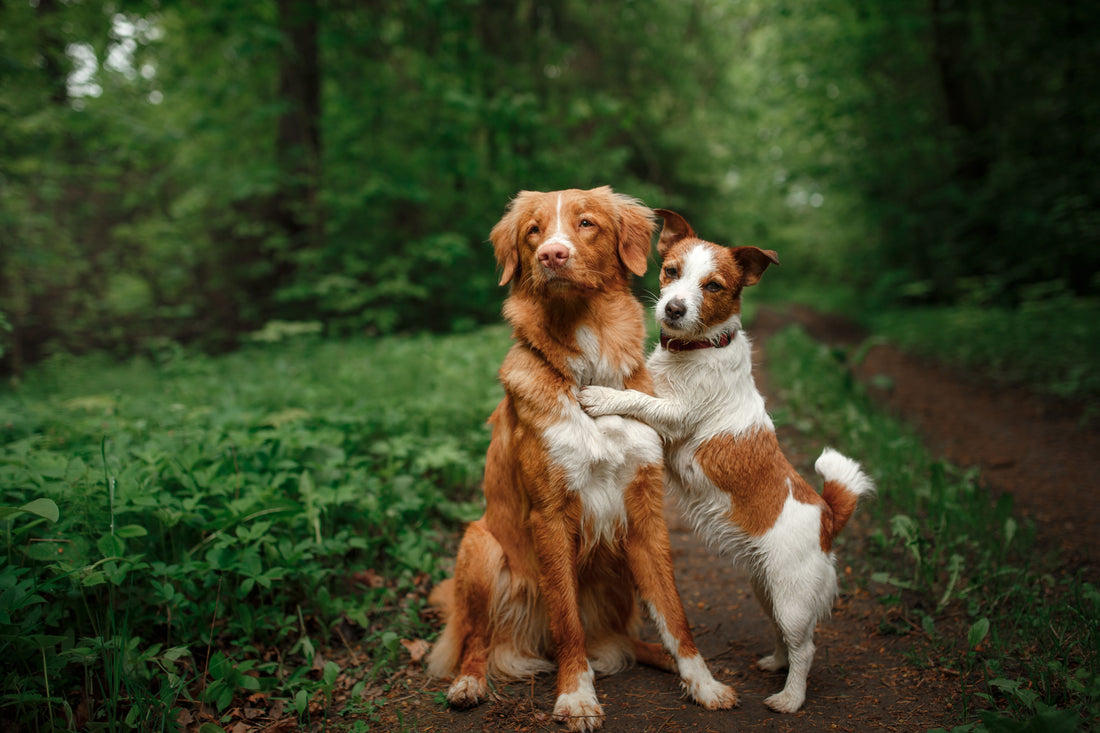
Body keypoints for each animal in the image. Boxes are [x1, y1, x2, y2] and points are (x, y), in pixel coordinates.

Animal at [424, 189, 734, 730]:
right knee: (477, 638)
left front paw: (703, 683)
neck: (587, 359)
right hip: (480, 546)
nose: (552, 254)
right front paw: (576, 696)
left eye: (586, 223)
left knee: (630, 639)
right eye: (533, 231)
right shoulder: (548, 516)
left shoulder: (645, 512)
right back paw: (469, 682)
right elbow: (566, 618)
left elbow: (675, 613)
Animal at [576, 208, 875, 708]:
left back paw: (790, 698)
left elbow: (637, 399)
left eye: (713, 286)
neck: (696, 350)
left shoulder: (675, 417)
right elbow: (637, 387)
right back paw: (774, 663)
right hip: (766, 588)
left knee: (807, 648)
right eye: (670, 270)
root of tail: (828, 517)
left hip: (792, 597)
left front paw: (601, 396)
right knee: (785, 638)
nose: (673, 309)